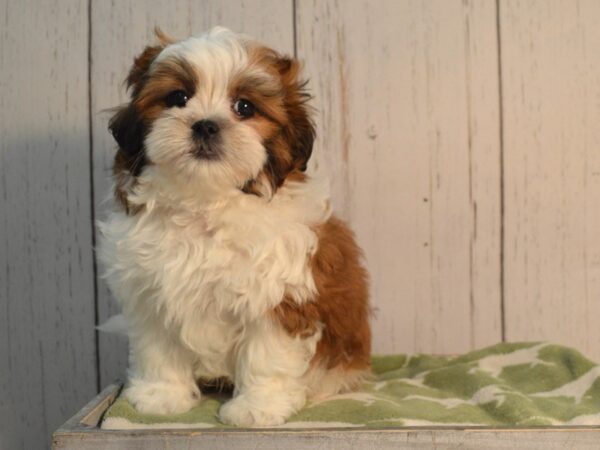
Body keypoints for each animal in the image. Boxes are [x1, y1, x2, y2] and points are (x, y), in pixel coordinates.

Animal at [98, 26, 370, 428]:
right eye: (178, 97)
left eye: (244, 107)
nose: (206, 124)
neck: (205, 202)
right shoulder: (151, 293)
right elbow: (159, 349)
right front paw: (161, 395)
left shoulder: (279, 295)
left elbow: (267, 354)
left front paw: (258, 406)